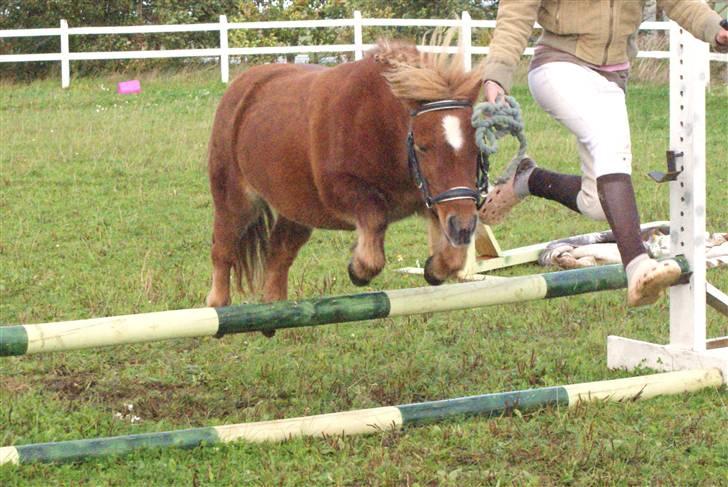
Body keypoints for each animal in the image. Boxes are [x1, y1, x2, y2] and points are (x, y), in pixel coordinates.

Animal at [208, 35, 486, 308]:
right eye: (423, 146)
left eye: (477, 146)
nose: (463, 228)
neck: (380, 124)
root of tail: (241, 85)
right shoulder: (341, 191)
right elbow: (374, 222)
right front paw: (358, 269)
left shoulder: (434, 198)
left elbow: (453, 257)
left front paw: (433, 269)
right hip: (235, 202)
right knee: (222, 251)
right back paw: (218, 303)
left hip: (297, 209)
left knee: (278, 253)